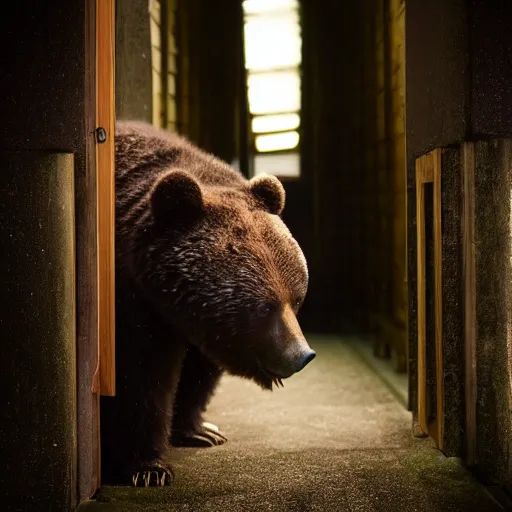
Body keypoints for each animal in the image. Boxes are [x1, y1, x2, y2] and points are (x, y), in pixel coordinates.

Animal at [99, 122, 316, 486]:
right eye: (265, 306)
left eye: (297, 298)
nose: (301, 355)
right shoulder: (134, 307)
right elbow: (142, 381)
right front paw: (149, 468)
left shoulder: (205, 328)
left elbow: (199, 372)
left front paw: (200, 430)